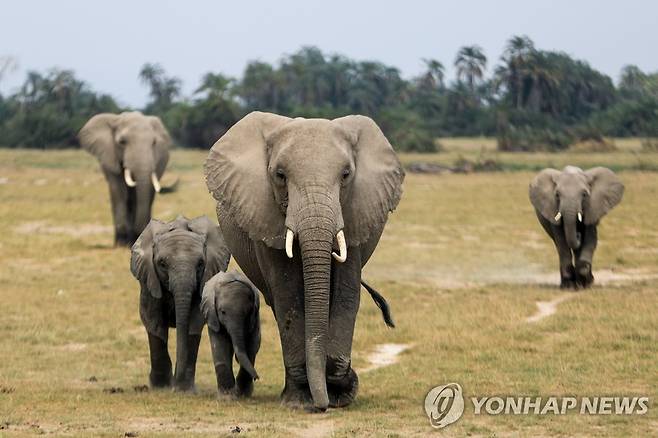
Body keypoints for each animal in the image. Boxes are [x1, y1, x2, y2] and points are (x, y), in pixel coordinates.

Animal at [77, 111, 172, 246]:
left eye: (154, 143)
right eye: (122, 142)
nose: (138, 233)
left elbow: (143, 194)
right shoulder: (111, 157)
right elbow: (119, 190)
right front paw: (121, 243)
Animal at [129, 215, 229, 390]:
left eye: (201, 264)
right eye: (162, 264)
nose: (176, 384)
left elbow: (194, 323)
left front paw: (184, 389)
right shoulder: (149, 281)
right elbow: (154, 321)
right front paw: (160, 387)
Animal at [201, 268, 260, 398]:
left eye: (247, 312)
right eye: (222, 312)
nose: (257, 378)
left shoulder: (254, 317)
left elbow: (252, 346)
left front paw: (242, 395)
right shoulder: (213, 316)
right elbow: (220, 345)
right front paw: (227, 397)